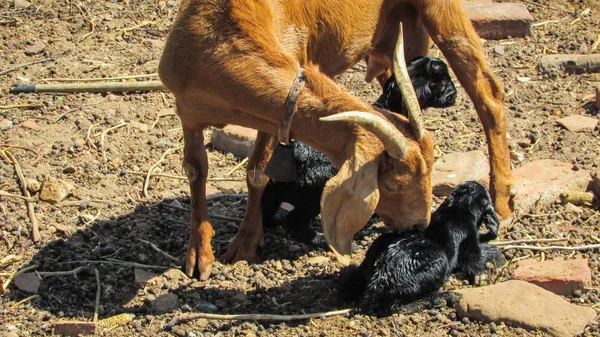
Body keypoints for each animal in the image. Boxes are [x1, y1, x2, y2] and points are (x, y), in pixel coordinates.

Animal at [262, 55, 454, 247]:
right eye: (443, 80)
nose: (454, 95)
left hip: (276, 187)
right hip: (315, 190)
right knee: (295, 222)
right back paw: (321, 239)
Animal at [340, 181, 504, 316]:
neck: (457, 209)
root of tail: (377, 281)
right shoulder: (469, 238)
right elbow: (474, 259)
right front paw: (496, 255)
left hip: (374, 252)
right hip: (437, 266)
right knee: (398, 307)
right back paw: (444, 297)